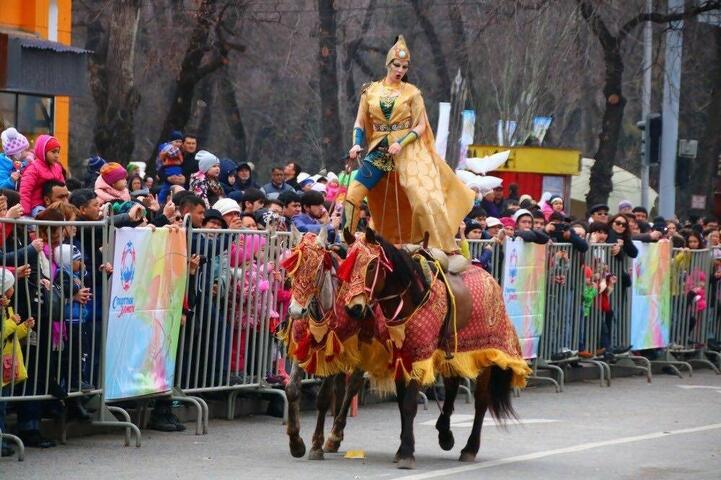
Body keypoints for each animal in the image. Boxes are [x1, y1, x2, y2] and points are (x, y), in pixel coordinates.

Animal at [340, 229, 524, 468]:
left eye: (371, 266)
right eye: (347, 262)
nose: (354, 308)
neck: (411, 299)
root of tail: (489, 277)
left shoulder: (421, 354)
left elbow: (409, 404)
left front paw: (406, 453)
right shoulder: (401, 356)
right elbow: (402, 402)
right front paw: (403, 447)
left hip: (487, 353)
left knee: (481, 400)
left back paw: (469, 448)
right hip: (452, 351)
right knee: (452, 386)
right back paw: (445, 433)